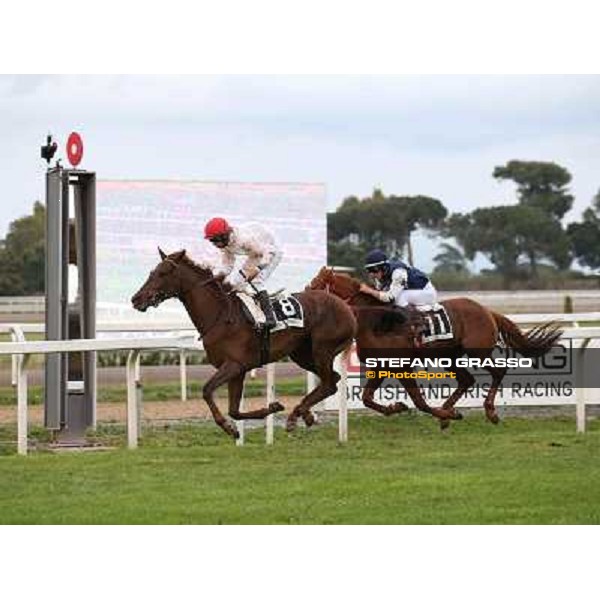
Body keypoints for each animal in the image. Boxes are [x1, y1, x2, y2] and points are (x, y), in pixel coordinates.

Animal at [131, 250, 356, 440]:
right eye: (152, 272)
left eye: (162, 273)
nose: (136, 299)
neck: (221, 316)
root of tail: (345, 306)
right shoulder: (237, 370)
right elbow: (235, 410)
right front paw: (270, 409)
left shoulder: (235, 365)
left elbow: (207, 390)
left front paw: (228, 427)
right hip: (302, 355)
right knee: (332, 380)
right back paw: (306, 414)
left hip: (322, 350)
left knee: (329, 383)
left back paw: (297, 415)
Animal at [310, 268, 564, 426]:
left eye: (315, 286)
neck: (376, 322)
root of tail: (486, 310)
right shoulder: (380, 366)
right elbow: (366, 398)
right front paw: (397, 407)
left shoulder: (402, 367)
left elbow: (419, 402)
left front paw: (441, 413)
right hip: (449, 357)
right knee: (466, 380)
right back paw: (448, 412)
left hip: (478, 352)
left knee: (497, 372)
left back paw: (488, 411)